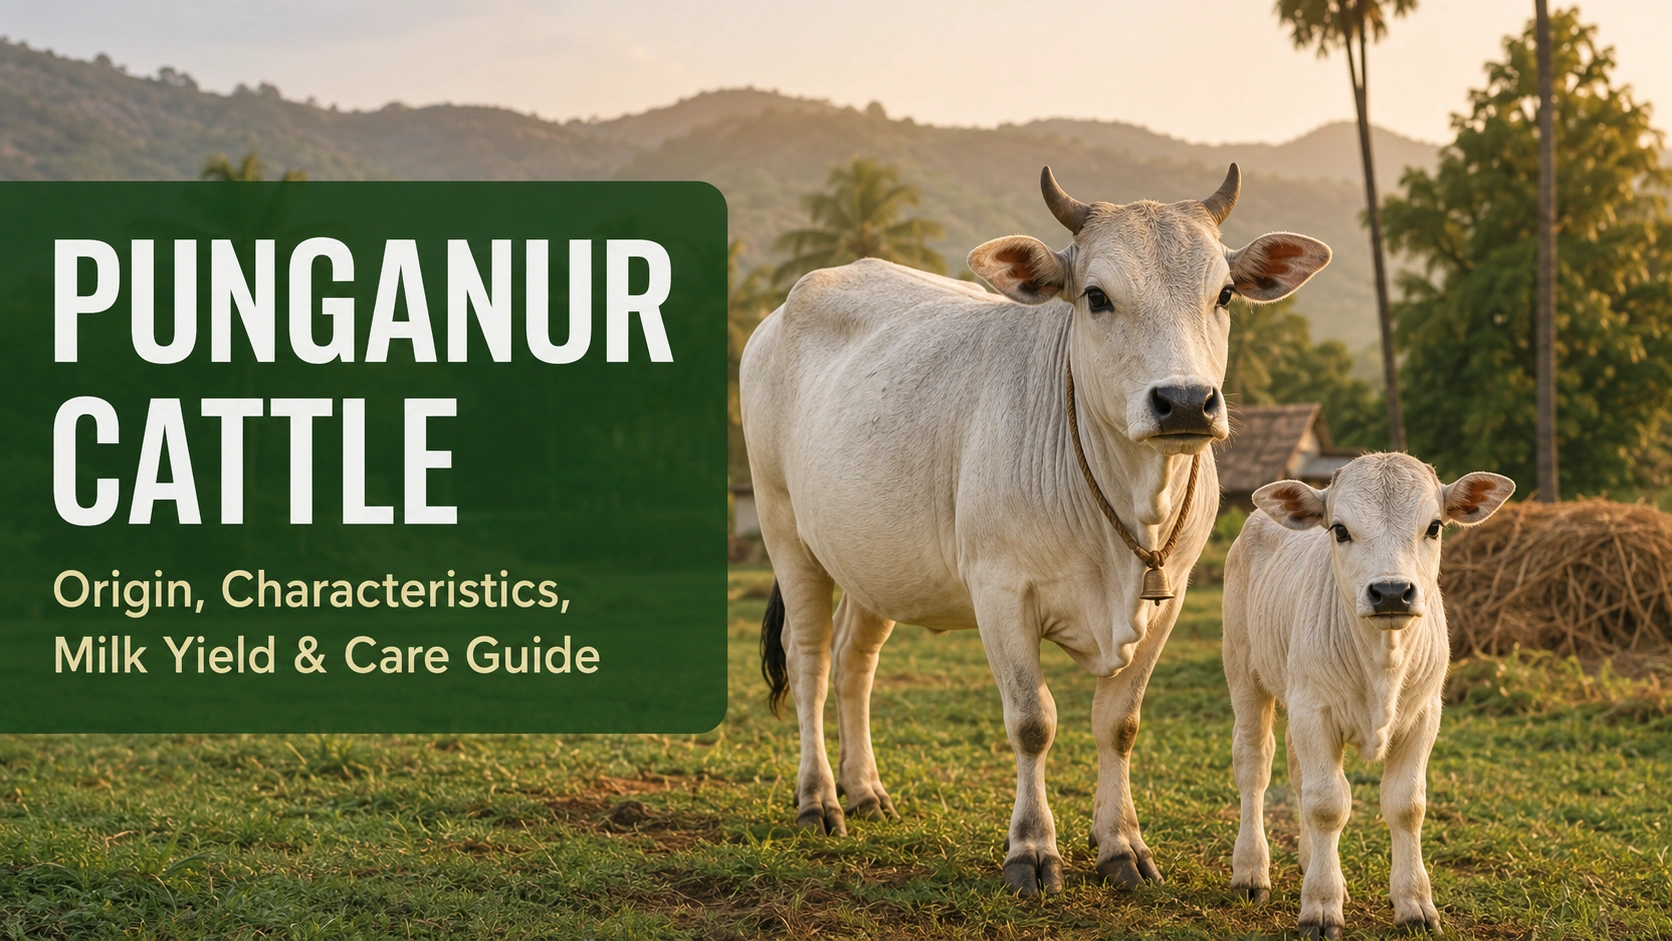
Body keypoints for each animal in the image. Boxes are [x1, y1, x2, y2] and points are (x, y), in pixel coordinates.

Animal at [740, 164, 1332, 895]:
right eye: (1097, 296)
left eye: (1223, 293)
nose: (1186, 402)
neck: (1129, 503)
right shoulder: (1001, 592)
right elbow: (1032, 722)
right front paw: (1031, 849)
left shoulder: (1170, 596)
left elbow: (1119, 723)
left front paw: (1121, 845)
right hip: (785, 530)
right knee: (812, 661)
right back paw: (819, 797)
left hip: (874, 560)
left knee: (856, 662)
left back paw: (865, 789)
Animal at [1222, 453, 1515, 937]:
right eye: (1340, 529)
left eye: (1434, 526)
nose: (1392, 592)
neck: (1383, 662)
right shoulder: (1313, 710)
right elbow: (1328, 805)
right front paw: (1321, 905)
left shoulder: (1423, 715)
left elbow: (1406, 805)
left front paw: (1414, 902)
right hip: (1245, 674)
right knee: (1255, 767)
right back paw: (1250, 871)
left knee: (1298, 775)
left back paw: (1310, 861)